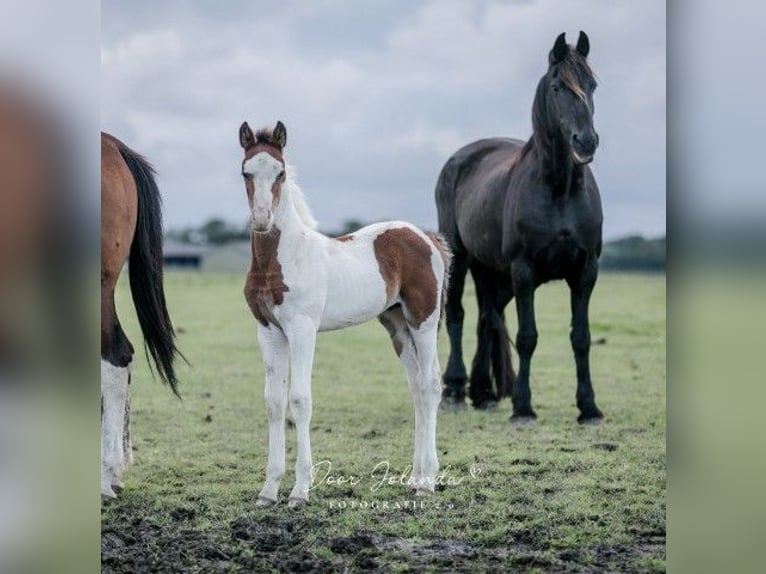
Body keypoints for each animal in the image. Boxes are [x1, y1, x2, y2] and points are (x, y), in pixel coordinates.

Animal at [240, 121, 450, 508]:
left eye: (280, 172)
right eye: (246, 172)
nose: (261, 219)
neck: (282, 257)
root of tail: (426, 236)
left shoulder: (303, 329)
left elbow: (299, 400)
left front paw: (300, 491)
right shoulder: (268, 331)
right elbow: (274, 402)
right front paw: (268, 491)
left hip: (423, 320)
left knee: (430, 385)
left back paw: (428, 481)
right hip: (397, 325)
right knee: (416, 388)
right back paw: (414, 478)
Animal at [438, 32, 608, 424]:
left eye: (592, 85)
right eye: (558, 86)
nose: (586, 142)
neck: (559, 189)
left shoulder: (585, 271)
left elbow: (582, 337)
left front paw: (589, 408)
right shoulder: (524, 271)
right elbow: (527, 336)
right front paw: (523, 408)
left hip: (492, 272)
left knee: (487, 318)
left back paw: (483, 392)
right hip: (462, 258)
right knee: (457, 315)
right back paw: (454, 390)